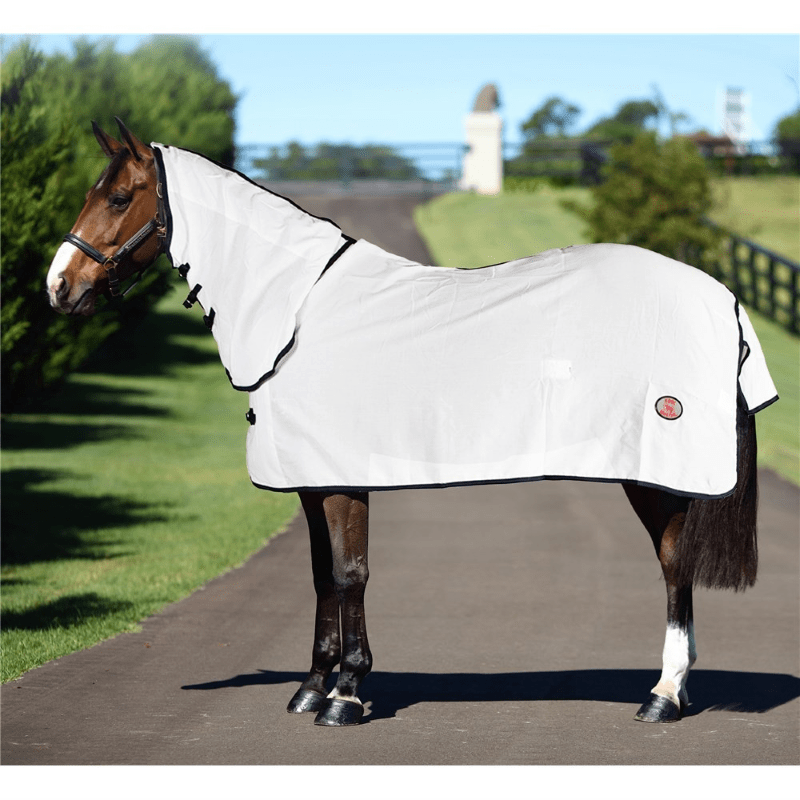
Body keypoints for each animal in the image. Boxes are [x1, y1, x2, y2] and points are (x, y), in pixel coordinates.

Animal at [46, 119, 776, 728]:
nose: (58, 286)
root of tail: (724, 297)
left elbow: (351, 573)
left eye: (119, 199)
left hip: (653, 472)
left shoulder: (343, 479)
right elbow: (321, 574)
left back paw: (663, 696)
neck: (297, 316)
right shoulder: (311, 479)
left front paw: (345, 696)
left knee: (674, 565)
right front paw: (311, 686)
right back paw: (674, 691)